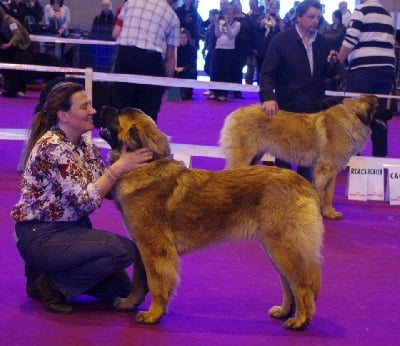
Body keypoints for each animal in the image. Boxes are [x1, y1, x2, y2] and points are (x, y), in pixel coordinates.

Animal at [97, 107, 324, 332]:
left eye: (117, 115)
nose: (102, 108)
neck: (145, 166)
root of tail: (303, 183)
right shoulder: (142, 246)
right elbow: (138, 280)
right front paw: (129, 303)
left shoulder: (154, 248)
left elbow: (156, 283)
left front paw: (153, 314)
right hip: (275, 248)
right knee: (288, 283)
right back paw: (285, 311)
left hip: (283, 247)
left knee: (302, 285)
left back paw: (300, 320)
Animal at [220, 94, 380, 219]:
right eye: (380, 106)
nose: (388, 113)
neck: (353, 117)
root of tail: (236, 112)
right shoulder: (328, 167)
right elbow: (328, 193)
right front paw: (329, 212)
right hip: (244, 155)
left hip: (254, 156)